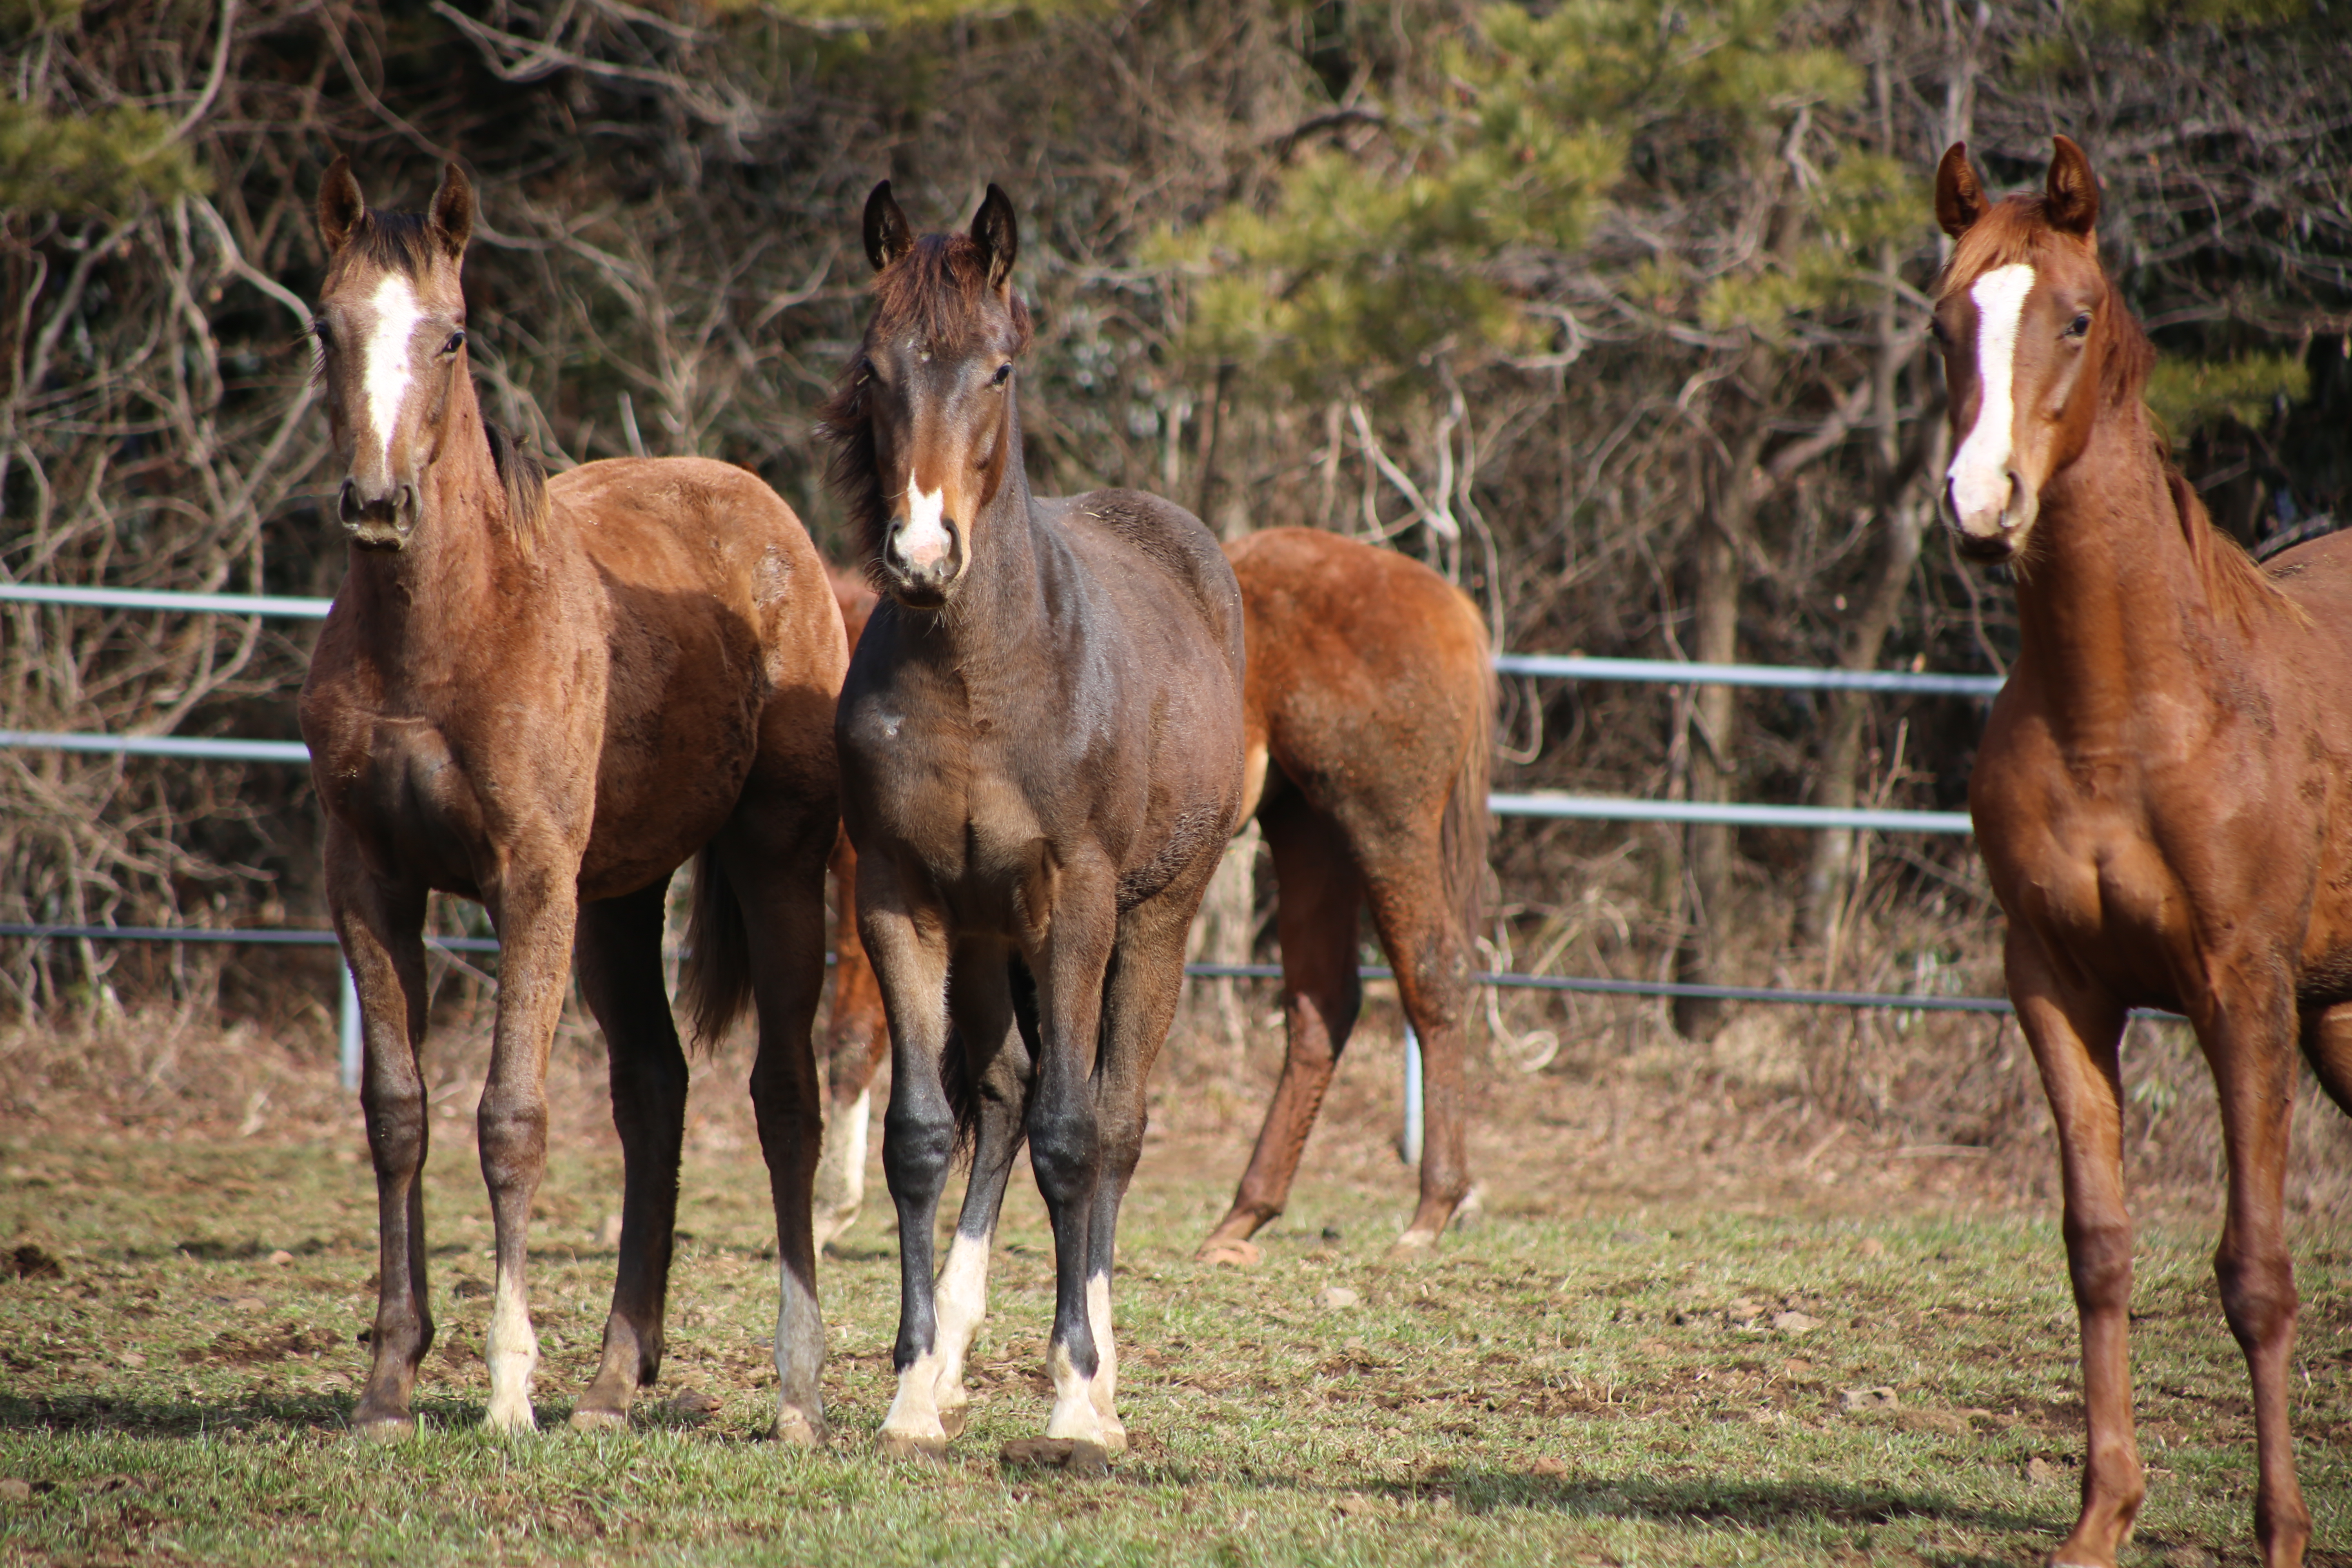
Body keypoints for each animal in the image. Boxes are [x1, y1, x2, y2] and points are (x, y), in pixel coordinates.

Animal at [296, 162, 846, 1448]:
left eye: (451, 334)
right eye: (327, 327)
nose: (379, 503)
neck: (442, 632)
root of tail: (769, 519)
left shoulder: (529, 878)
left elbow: (512, 1117)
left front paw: (507, 1387)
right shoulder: (369, 879)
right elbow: (398, 1111)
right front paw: (389, 1383)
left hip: (774, 860)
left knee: (784, 1093)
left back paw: (795, 1392)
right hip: (619, 897)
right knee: (654, 1092)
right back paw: (610, 1378)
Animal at [818, 531, 1496, 1260]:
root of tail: (1449, 603)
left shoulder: (875, 875)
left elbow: (850, 1039)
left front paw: (829, 1209)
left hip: (1382, 825)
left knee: (1434, 977)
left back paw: (1432, 1208)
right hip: (1307, 831)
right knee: (1324, 1005)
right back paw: (1244, 1214)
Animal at [828, 184, 1251, 1476]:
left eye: (999, 368)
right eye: (873, 368)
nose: (922, 553)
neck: (983, 678)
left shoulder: (1078, 903)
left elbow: (1078, 1135)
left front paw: (1073, 1395)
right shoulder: (902, 901)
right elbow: (923, 1136)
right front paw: (911, 1392)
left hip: (1151, 921)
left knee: (1110, 1121)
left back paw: (1101, 1383)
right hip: (985, 938)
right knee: (1004, 1095)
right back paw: (958, 1360)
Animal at [1938, 138, 2342, 1568]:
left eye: (2072, 318)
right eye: (1944, 321)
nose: (1981, 499)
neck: (2129, 709)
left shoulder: (2244, 994)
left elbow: (2257, 1272)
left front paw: (2281, 1534)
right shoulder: (2057, 987)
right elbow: (2100, 1247)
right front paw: (2101, 1517)